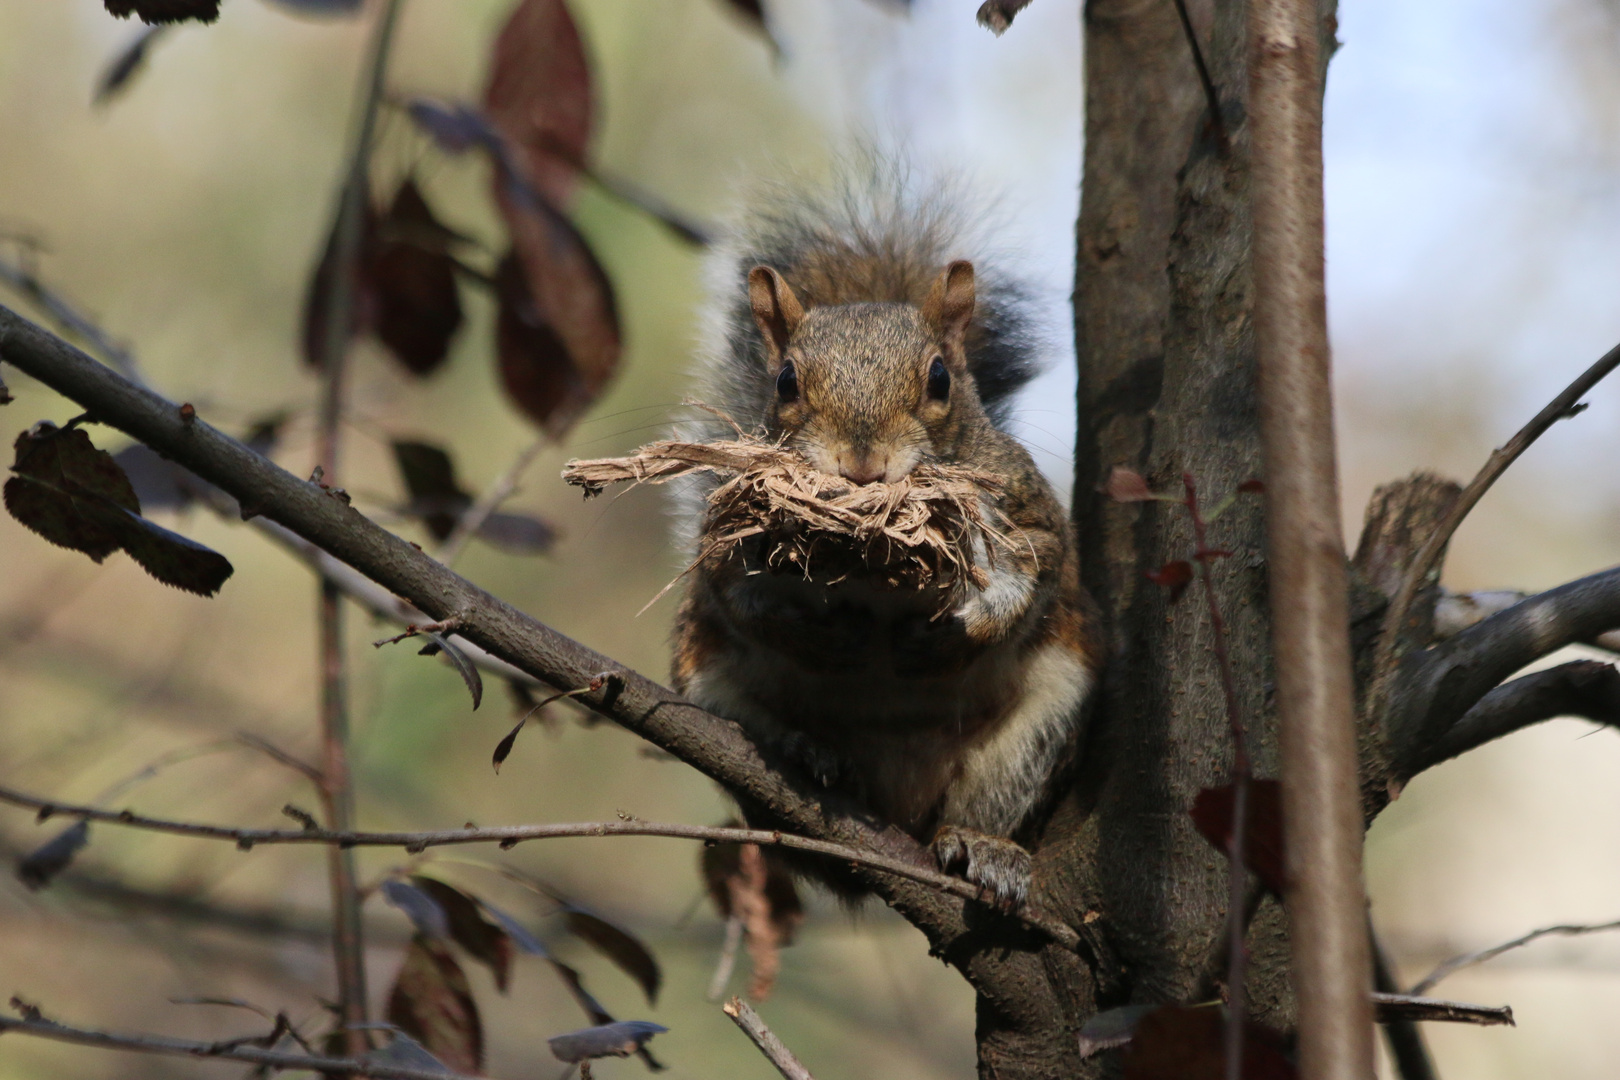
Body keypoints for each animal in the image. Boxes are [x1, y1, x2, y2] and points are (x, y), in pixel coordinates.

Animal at [670, 165, 1101, 906]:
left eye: (940, 378)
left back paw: (984, 848)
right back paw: (806, 750)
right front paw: (824, 637)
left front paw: (950, 637)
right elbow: (738, 596)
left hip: (1043, 718)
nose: (863, 462)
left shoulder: (1027, 512)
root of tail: (896, 810)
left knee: (981, 804)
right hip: (707, 694)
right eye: (785, 381)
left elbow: (1035, 573)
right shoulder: (725, 544)